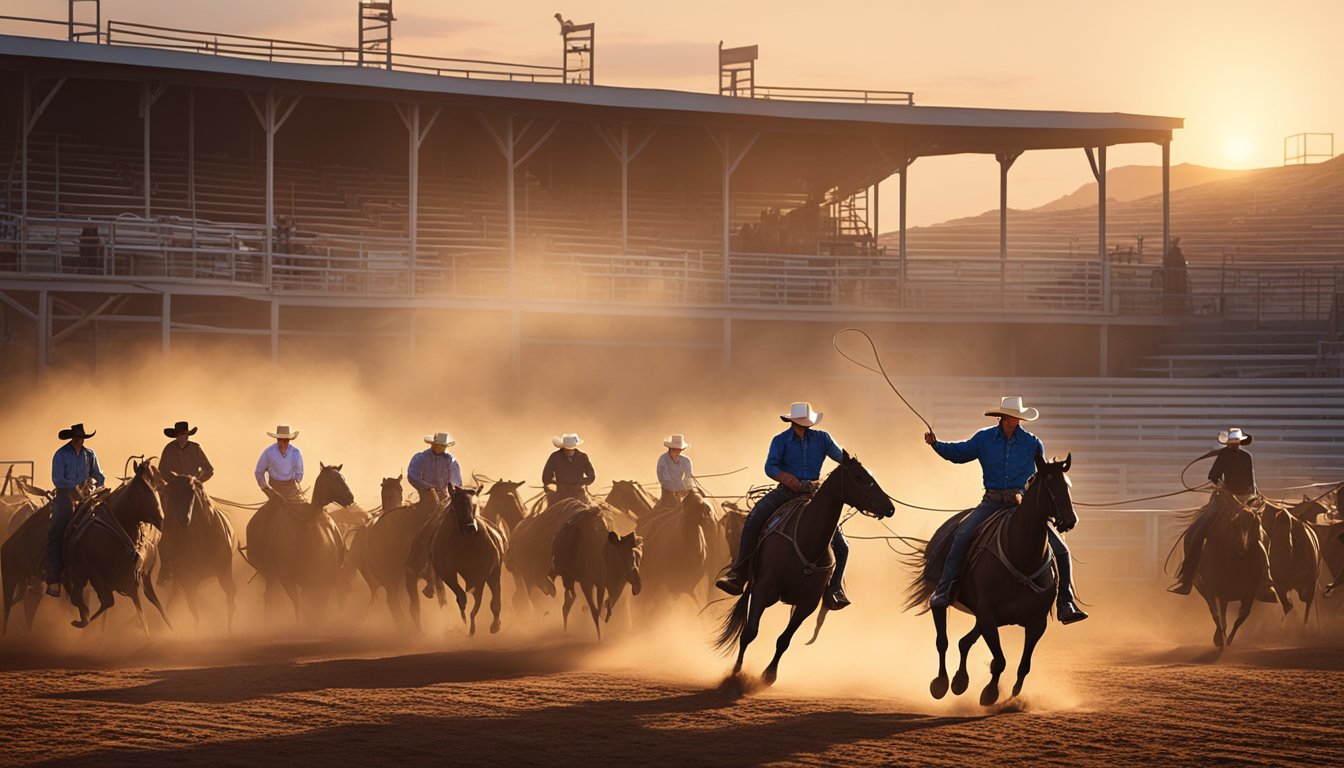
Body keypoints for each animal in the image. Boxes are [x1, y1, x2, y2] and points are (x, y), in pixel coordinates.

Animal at [65, 462, 173, 637]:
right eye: (141, 491)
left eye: (158, 486)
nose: (161, 519)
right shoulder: (96, 571)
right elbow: (113, 603)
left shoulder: (134, 578)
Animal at [551, 508, 645, 640]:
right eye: (621, 554)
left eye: (638, 555)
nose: (637, 584)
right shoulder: (588, 583)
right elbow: (595, 611)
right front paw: (600, 637)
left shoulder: (607, 584)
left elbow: (603, 607)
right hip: (568, 576)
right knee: (567, 603)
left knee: (568, 602)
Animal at [715, 451, 892, 685]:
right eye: (859, 476)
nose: (890, 508)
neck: (807, 540)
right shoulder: (762, 591)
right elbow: (750, 632)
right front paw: (735, 673)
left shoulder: (807, 604)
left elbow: (784, 640)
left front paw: (769, 675)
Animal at [908, 454, 1075, 704]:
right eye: (1048, 486)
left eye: (1067, 485)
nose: (1069, 520)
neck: (1022, 557)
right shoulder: (987, 614)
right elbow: (1000, 661)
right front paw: (989, 693)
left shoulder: (1036, 623)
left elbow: (1023, 665)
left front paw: (1012, 698)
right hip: (947, 598)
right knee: (943, 639)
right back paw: (941, 683)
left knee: (964, 642)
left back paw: (960, 681)